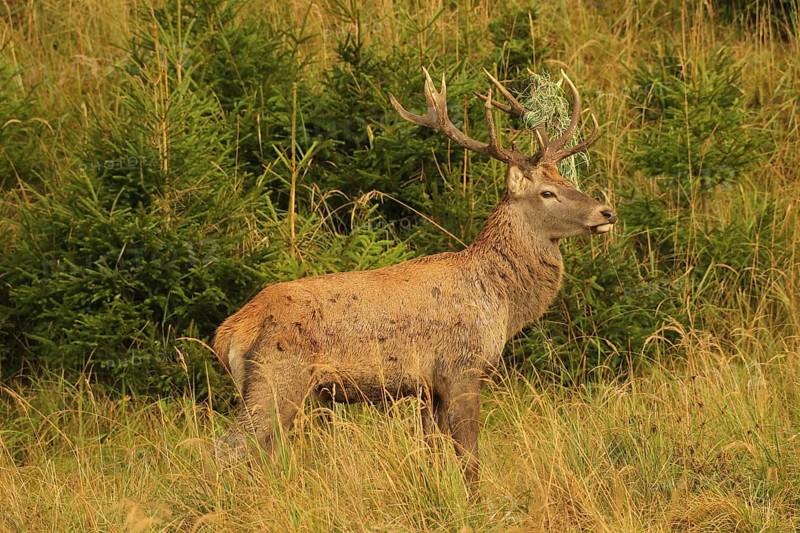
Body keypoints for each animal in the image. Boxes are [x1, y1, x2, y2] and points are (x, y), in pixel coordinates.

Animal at [213, 68, 617, 493]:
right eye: (547, 192)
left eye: (568, 181)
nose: (607, 211)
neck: (500, 301)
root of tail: (229, 331)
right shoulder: (462, 367)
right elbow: (469, 458)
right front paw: (476, 501)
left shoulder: (428, 387)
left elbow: (433, 453)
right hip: (276, 377)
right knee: (229, 447)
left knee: (265, 452)